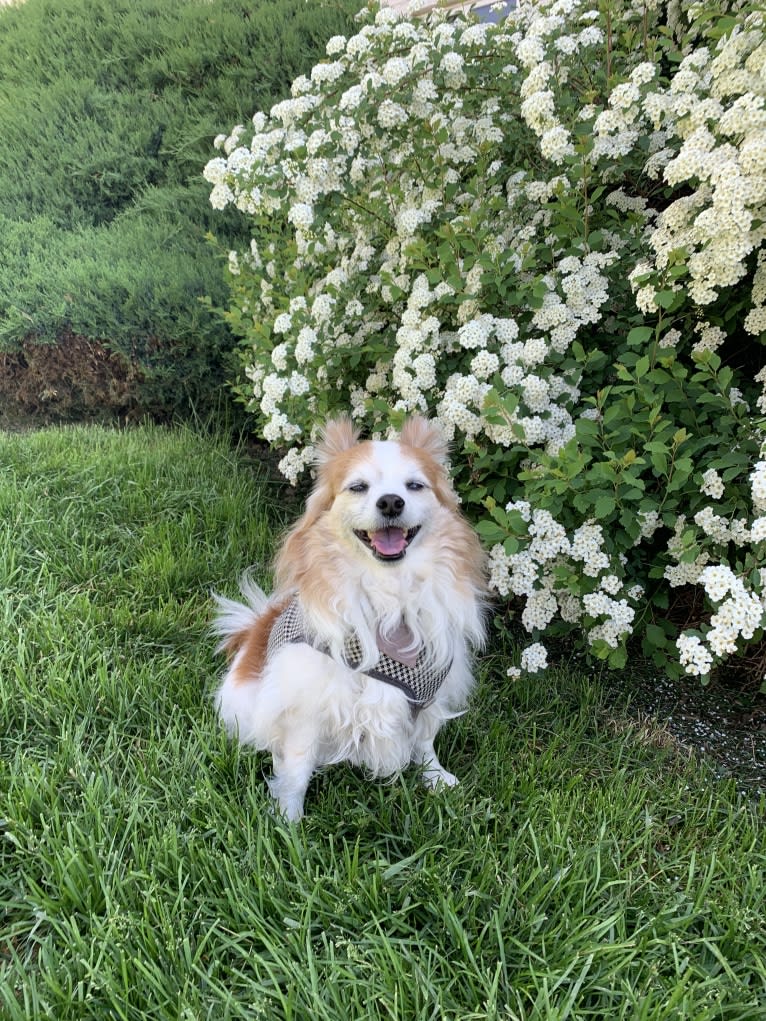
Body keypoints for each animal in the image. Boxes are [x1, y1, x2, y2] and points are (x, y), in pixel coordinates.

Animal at [211, 414, 486, 820]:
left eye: (414, 485)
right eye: (358, 487)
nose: (391, 501)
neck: (390, 594)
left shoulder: (426, 692)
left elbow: (424, 740)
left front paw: (436, 778)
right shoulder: (307, 704)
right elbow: (297, 767)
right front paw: (288, 819)